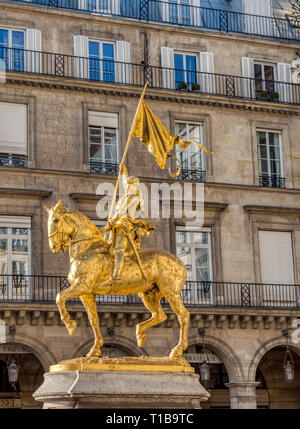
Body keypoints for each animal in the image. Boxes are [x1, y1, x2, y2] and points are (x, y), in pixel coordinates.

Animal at [46, 200, 190, 358]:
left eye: (56, 220)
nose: (53, 246)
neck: (89, 249)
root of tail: (180, 262)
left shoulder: (82, 286)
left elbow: (59, 297)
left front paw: (69, 324)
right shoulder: (86, 294)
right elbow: (93, 320)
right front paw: (94, 349)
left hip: (170, 293)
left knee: (183, 315)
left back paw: (177, 349)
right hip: (149, 294)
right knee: (160, 315)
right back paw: (140, 334)